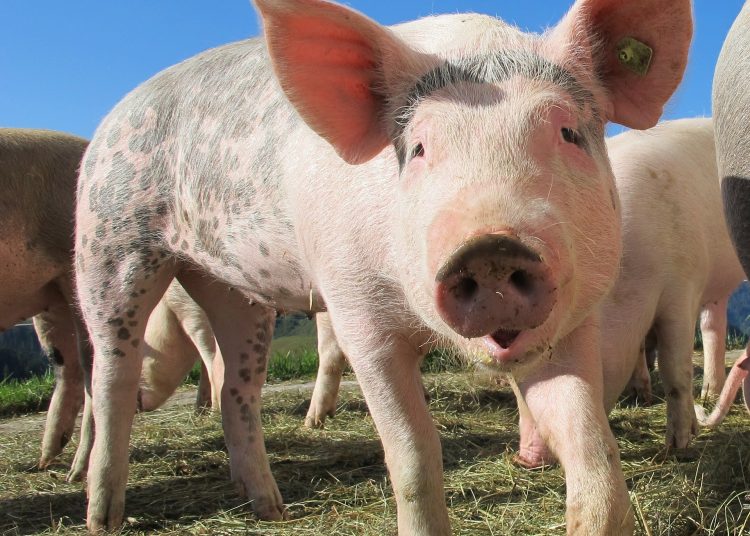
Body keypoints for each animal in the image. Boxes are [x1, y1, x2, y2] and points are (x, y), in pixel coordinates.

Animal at [74, 0, 692, 533]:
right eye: (417, 148)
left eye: (567, 133)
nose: (491, 248)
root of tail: (113, 116)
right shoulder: (357, 315)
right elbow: (414, 455)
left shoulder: (574, 320)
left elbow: (591, 444)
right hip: (111, 240)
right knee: (111, 376)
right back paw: (103, 518)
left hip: (234, 290)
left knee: (238, 387)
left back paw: (271, 509)